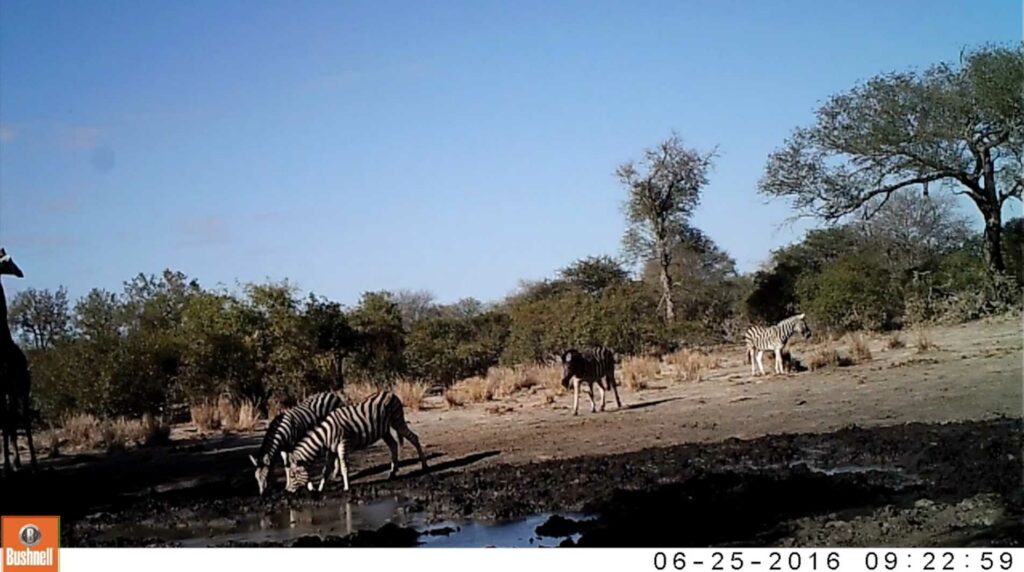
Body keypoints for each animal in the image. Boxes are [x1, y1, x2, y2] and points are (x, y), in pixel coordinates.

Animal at [282, 391, 427, 493]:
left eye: (293, 475)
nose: (287, 491)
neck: (325, 436)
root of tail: (390, 392)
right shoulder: (331, 450)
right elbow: (325, 470)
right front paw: (320, 489)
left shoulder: (343, 444)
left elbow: (344, 467)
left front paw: (346, 487)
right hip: (384, 430)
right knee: (393, 445)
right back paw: (392, 472)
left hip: (397, 421)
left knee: (414, 438)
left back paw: (424, 466)